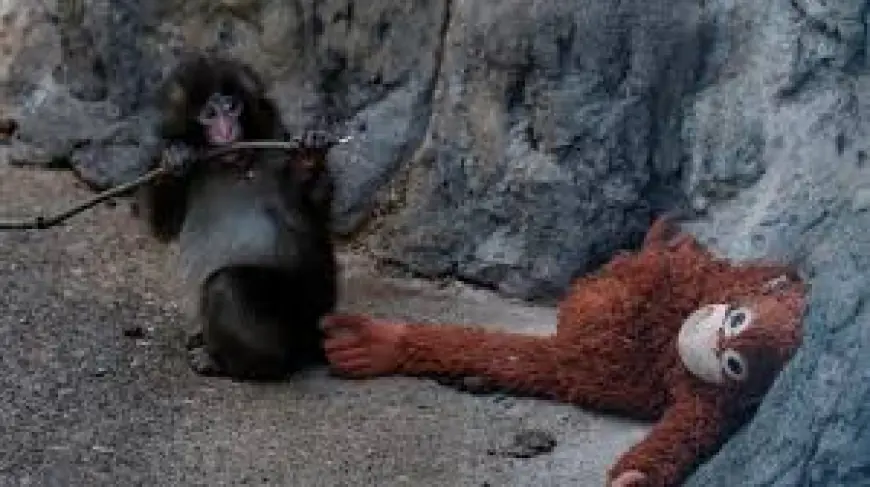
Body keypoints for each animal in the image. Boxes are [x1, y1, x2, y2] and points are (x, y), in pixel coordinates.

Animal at [136, 53, 339, 381]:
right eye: (209, 114)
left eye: (232, 107)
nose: (226, 128)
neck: (233, 164)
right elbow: (164, 226)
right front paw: (174, 157)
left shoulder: (276, 142)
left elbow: (314, 213)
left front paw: (310, 158)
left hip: (300, 315)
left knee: (227, 284)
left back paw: (239, 362)